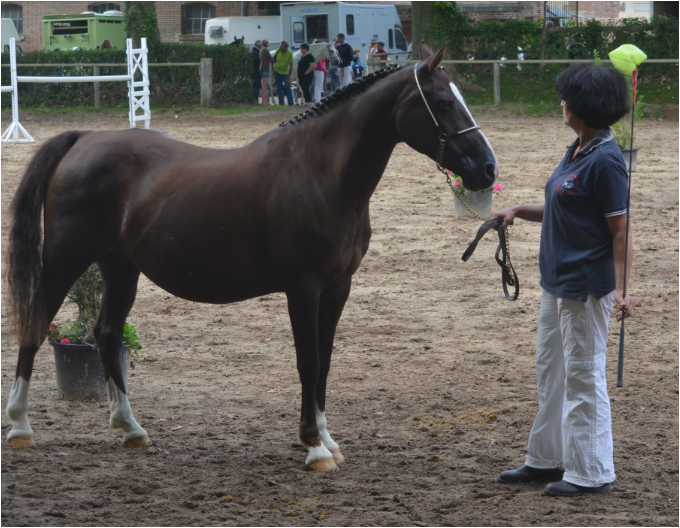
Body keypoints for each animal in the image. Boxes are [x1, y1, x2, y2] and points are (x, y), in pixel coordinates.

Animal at [2, 42, 496, 470]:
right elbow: (308, 361)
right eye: (443, 102)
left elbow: (325, 360)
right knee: (36, 322)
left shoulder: (338, 287)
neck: (321, 173)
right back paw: (21, 426)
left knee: (106, 334)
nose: (487, 168)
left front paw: (327, 437)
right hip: (65, 260)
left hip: (121, 268)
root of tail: (83, 138)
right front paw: (314, 448)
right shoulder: (303, 287)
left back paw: (130, 428)